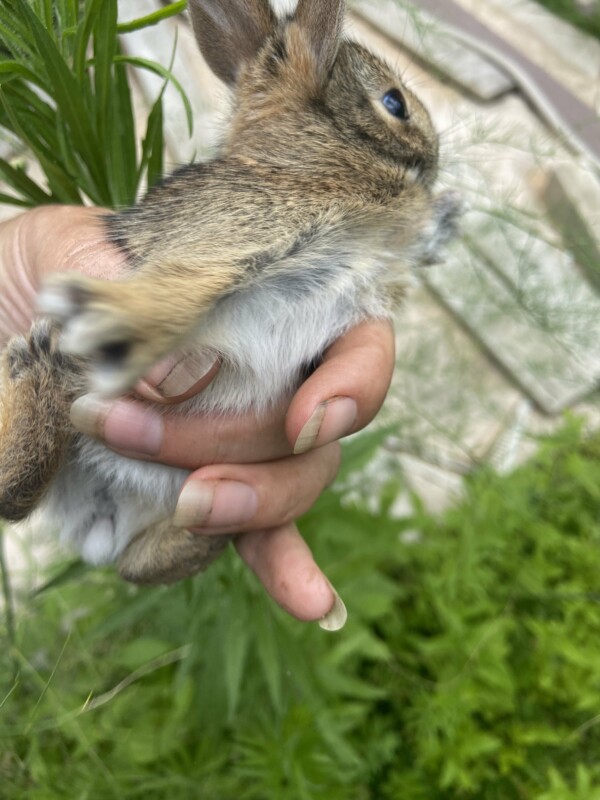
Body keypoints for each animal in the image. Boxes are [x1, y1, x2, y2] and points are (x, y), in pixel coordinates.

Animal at [0, 0, 464, 588]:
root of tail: (101, 528)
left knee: (128, 560)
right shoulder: (227, 235)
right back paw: (33, 364)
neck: (305, 161)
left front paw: (447, 218)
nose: (436, 157)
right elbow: (175, 290)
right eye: (394, 102)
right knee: (9, 495)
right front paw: (115, 324)